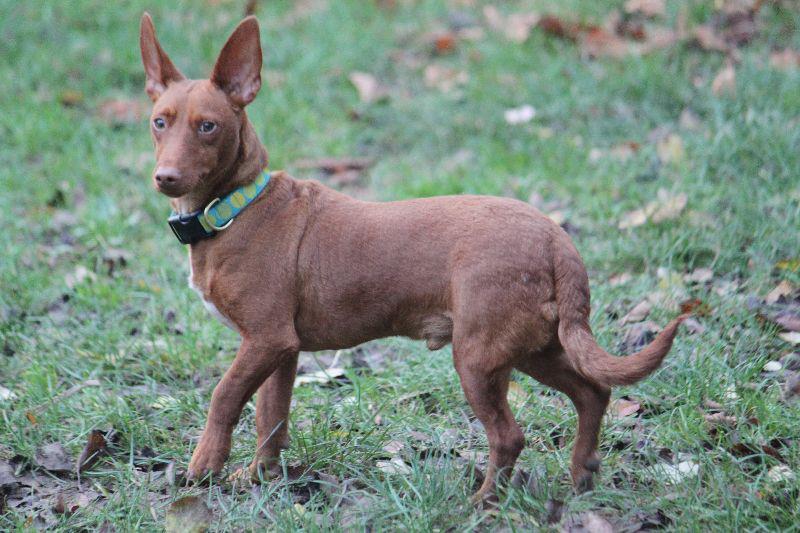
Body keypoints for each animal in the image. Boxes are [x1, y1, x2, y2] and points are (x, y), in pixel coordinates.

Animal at [139, 13, 686, 502]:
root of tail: (557, 238)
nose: (164, 177)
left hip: (478, 357)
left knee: (510, 436)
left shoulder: (266, 340)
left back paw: (483, 502)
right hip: (532, 346)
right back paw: (581, 474)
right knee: (593, 392)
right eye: (159, 123)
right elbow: (271, 419)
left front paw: (203, 468)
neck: (234, 209)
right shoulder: (281, 350)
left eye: (208, 127)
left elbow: (224, 397)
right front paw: (261, 479)